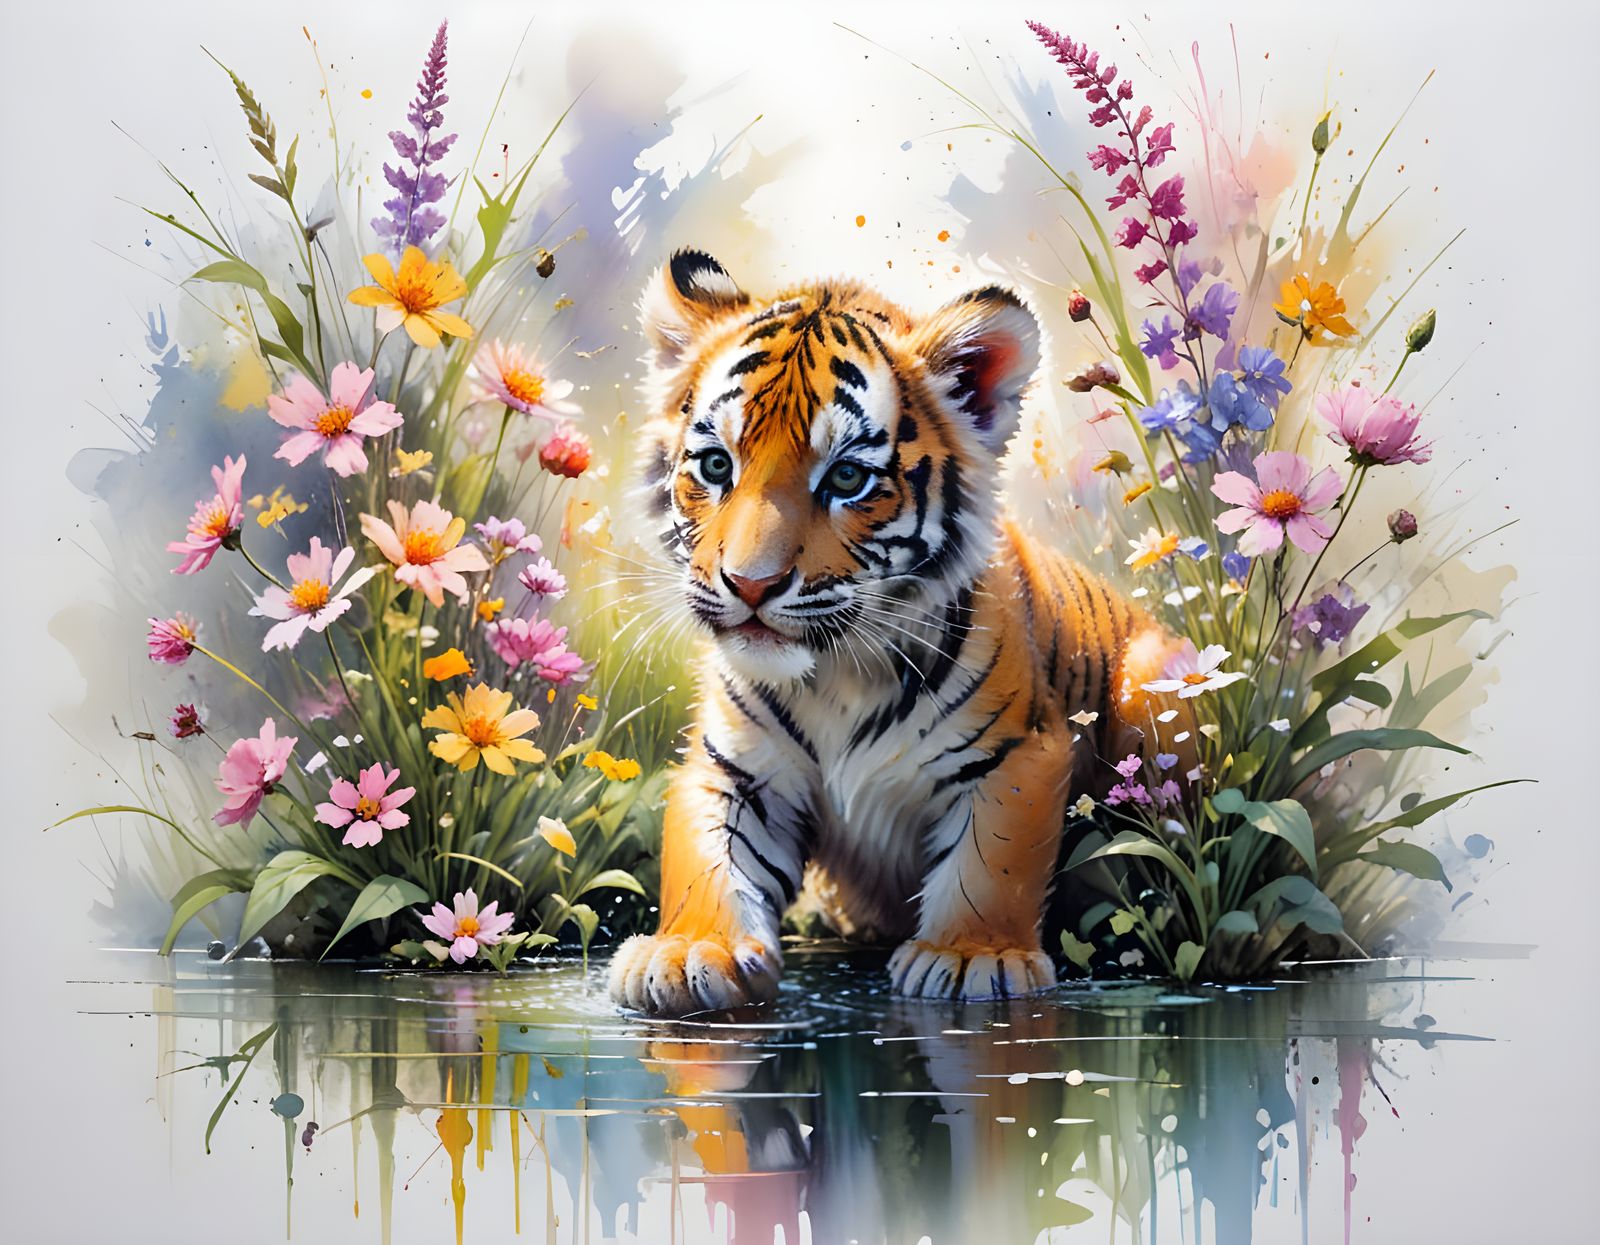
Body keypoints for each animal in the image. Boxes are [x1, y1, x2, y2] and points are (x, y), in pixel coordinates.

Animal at [607, 250, 1189, 1015]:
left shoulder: (1017, 754)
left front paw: (972, 957)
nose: (750, 585)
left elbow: (990, 861)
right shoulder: (732, 770)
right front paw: (688, 951)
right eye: (715, 466)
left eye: (847, 477)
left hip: (1153, 682)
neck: (836, 673)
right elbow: (707, 859)